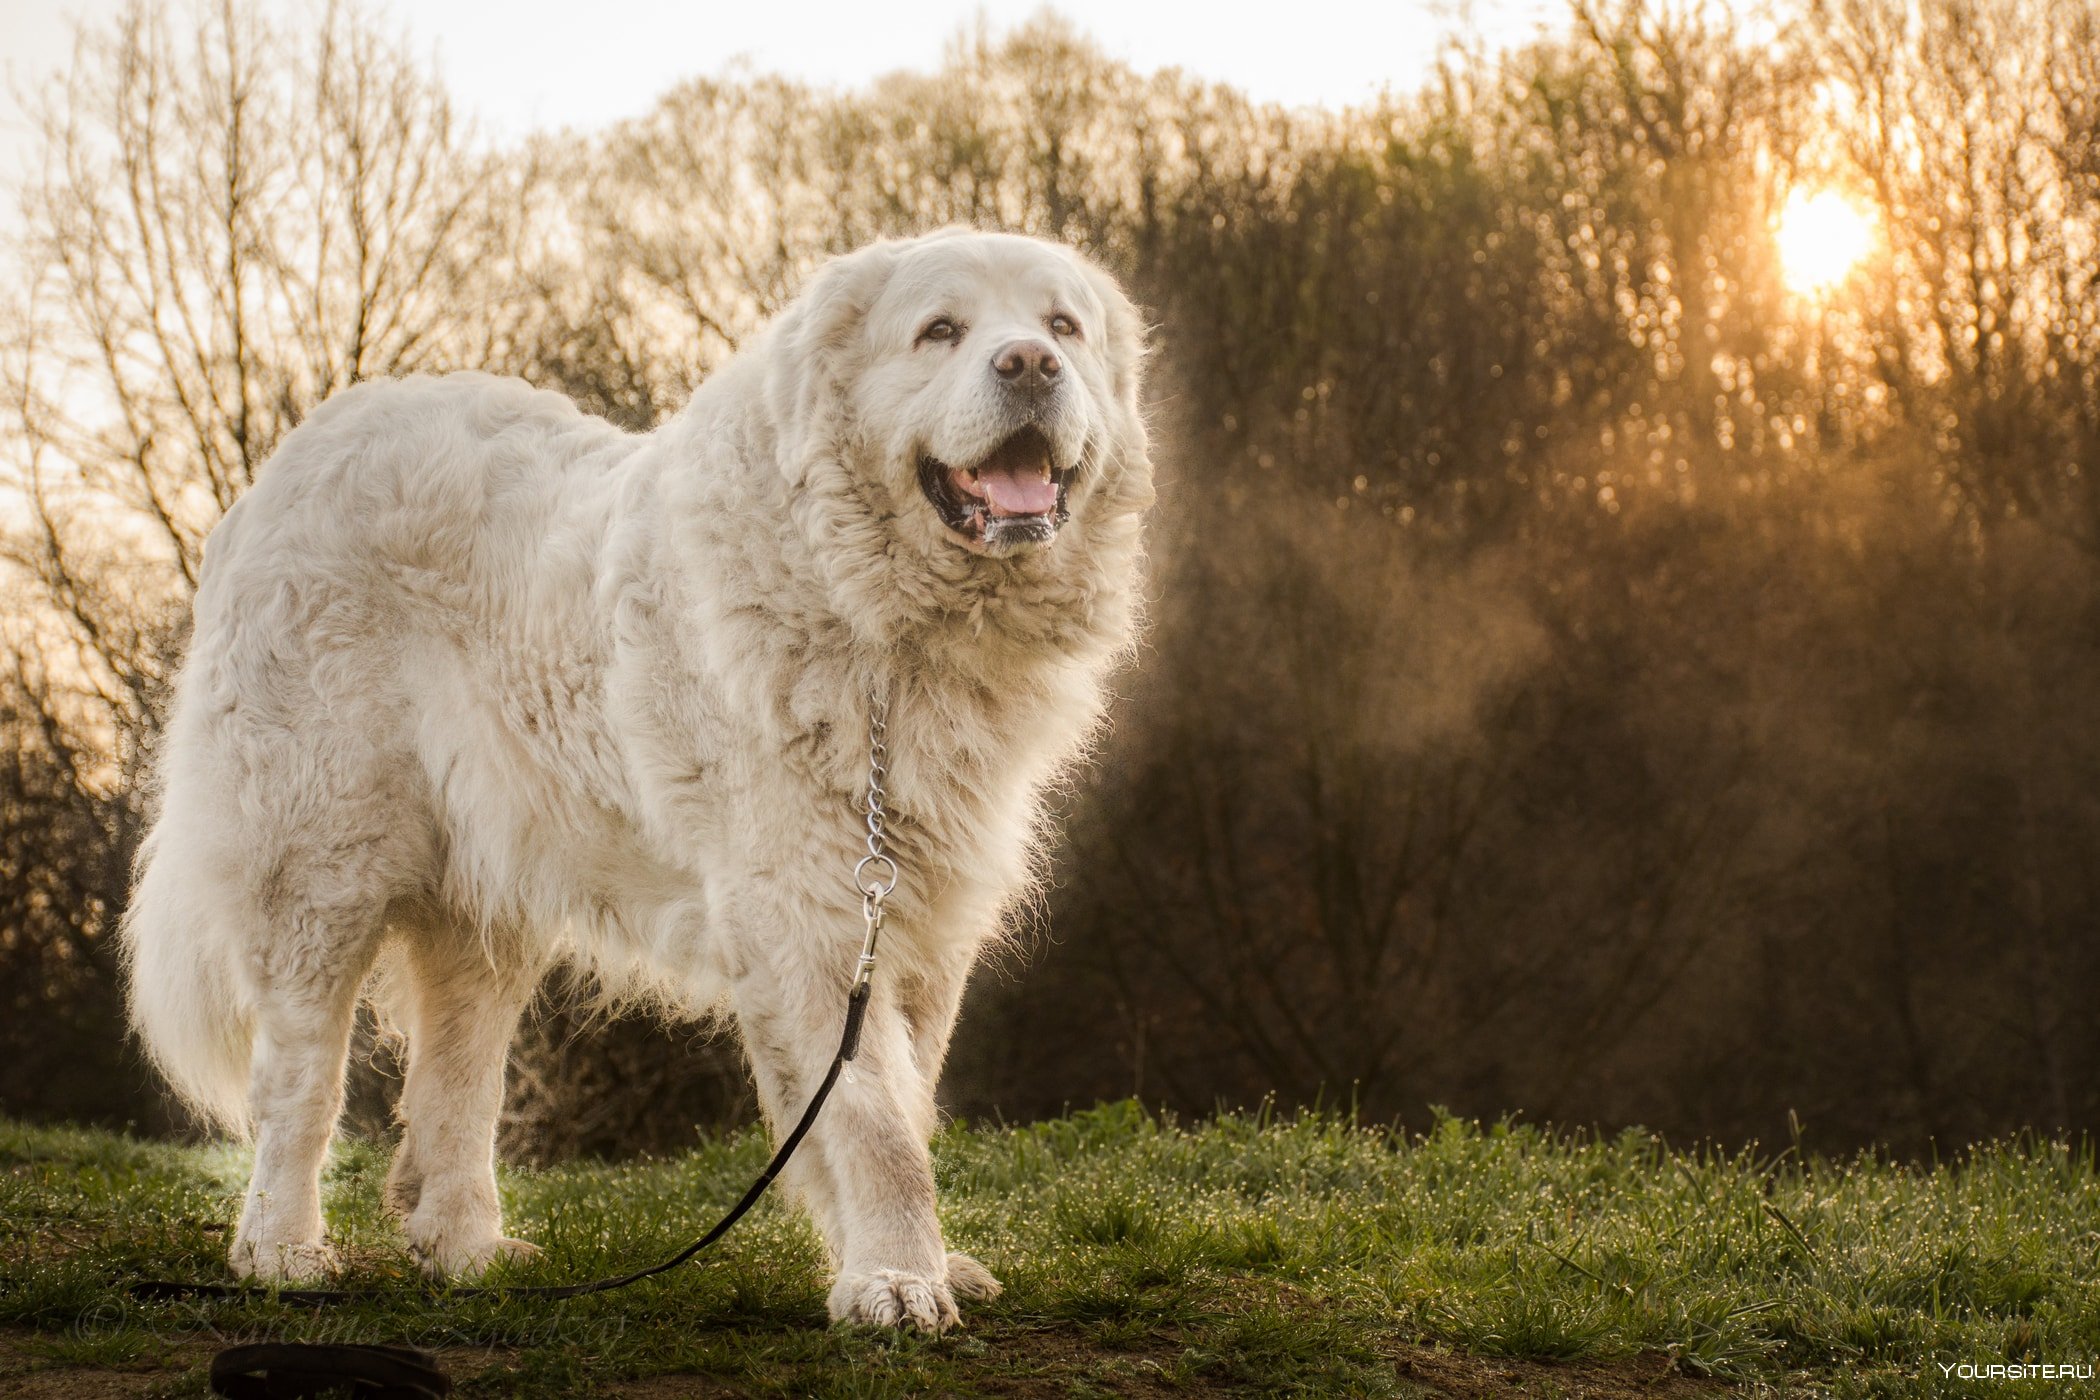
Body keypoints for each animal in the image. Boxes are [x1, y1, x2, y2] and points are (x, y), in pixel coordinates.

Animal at [119, 224, 1150, 1334]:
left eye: (1062, 326)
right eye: (941, 331)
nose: (1030, 365)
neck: (880, 619)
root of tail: (294, 456)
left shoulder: (916, 916)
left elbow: (900, 1099)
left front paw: (905, 1263)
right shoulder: (813, 907)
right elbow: (874, 1118)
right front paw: (895, 1279)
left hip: (488, 896)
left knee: (458, 1073)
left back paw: (466, 1248)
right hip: (323, 865)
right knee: (298, 1075)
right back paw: (282, 1248)